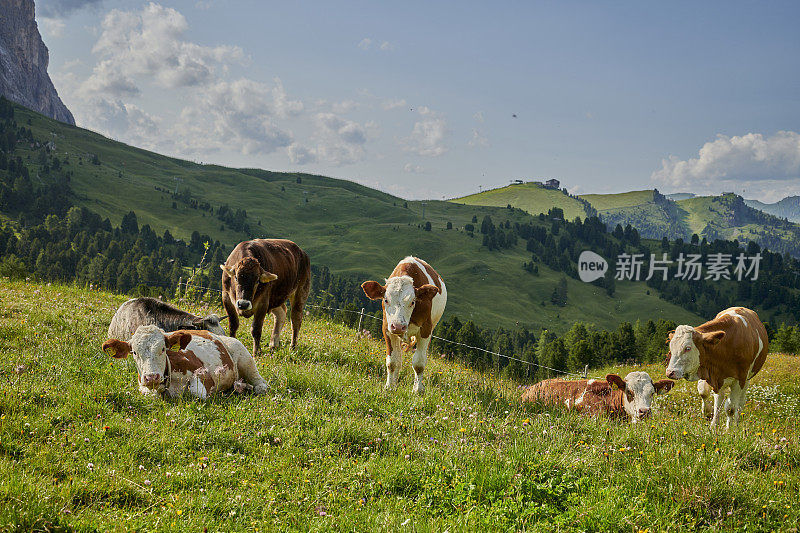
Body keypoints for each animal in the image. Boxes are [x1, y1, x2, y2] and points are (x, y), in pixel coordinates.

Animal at [103, 324, 268, 400]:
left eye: (163, 349)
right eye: (135, 352)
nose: (151, 377)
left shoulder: (204, 374)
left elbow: (197, 393)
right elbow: (151, 395)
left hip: (244, 356)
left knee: (259, 381)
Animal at [360, 256, 444, 392]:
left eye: (413, 302)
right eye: (386, 300)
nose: (399, 326)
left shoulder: (426, 329)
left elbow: (419, 363)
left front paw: (417, 390)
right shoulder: (387, 328)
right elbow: (393, 361)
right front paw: (390, 386)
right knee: (398, 358)